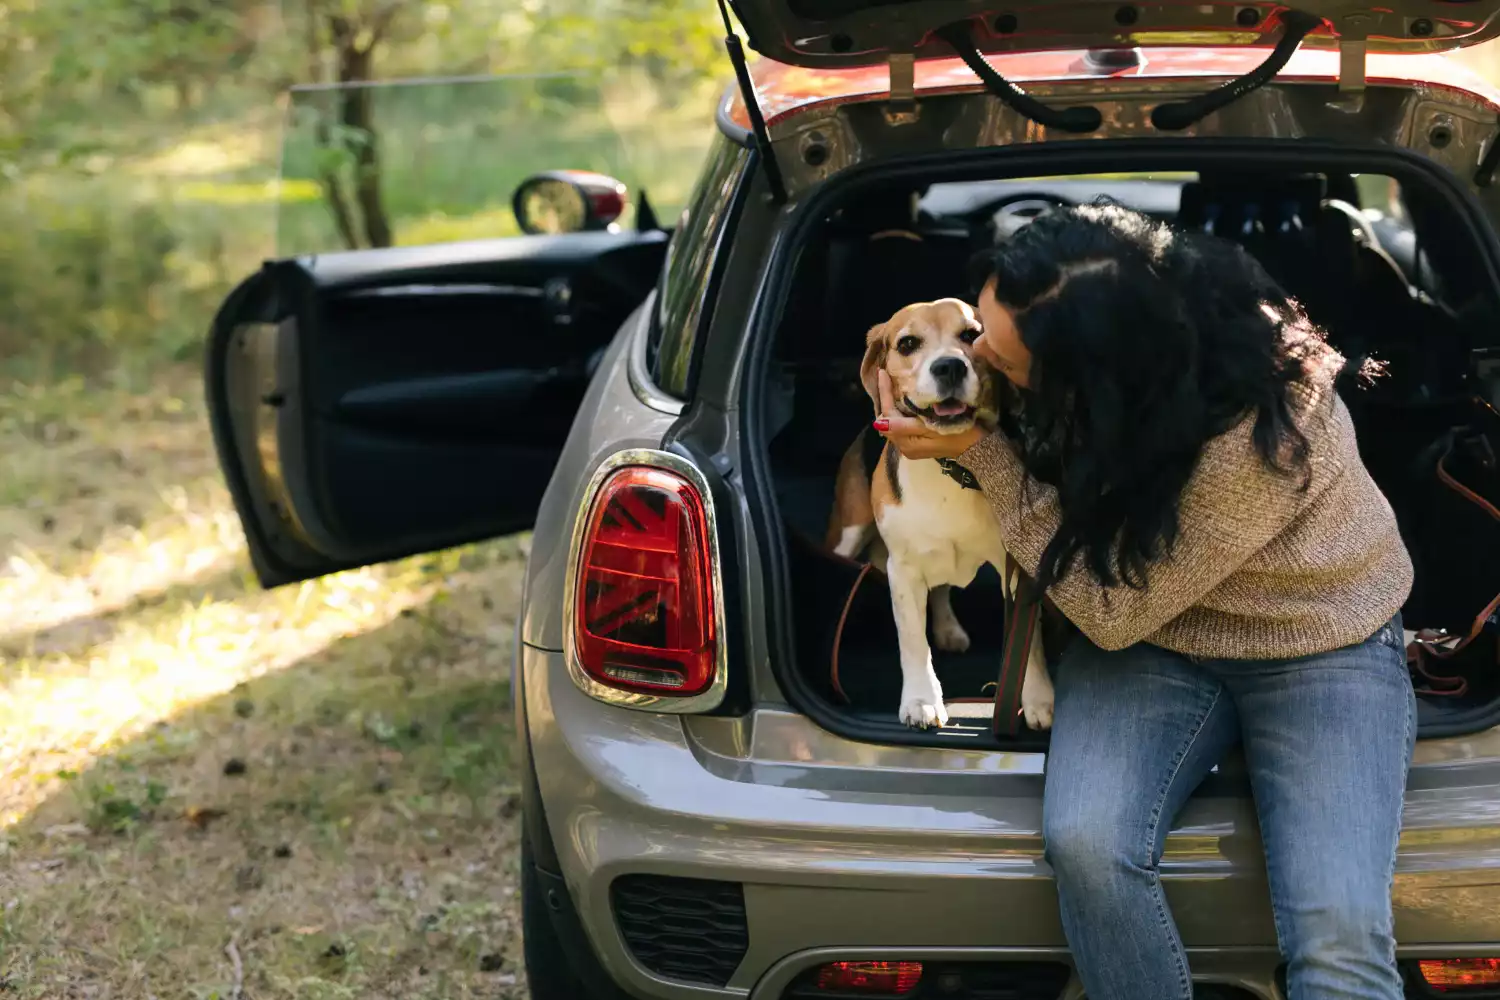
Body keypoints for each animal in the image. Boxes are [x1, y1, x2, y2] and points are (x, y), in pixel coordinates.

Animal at [822, 295, 1056, 728]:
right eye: (907, 344)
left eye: (970, 335)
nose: (949, 366)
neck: (950, 465)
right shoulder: (903, 568)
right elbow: (914, 641)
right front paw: (920, 701)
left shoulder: (1016, 570)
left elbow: (1028, 643)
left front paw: (1038, 699)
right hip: (848, 530)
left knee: (943, 589)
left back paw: (948, 629)